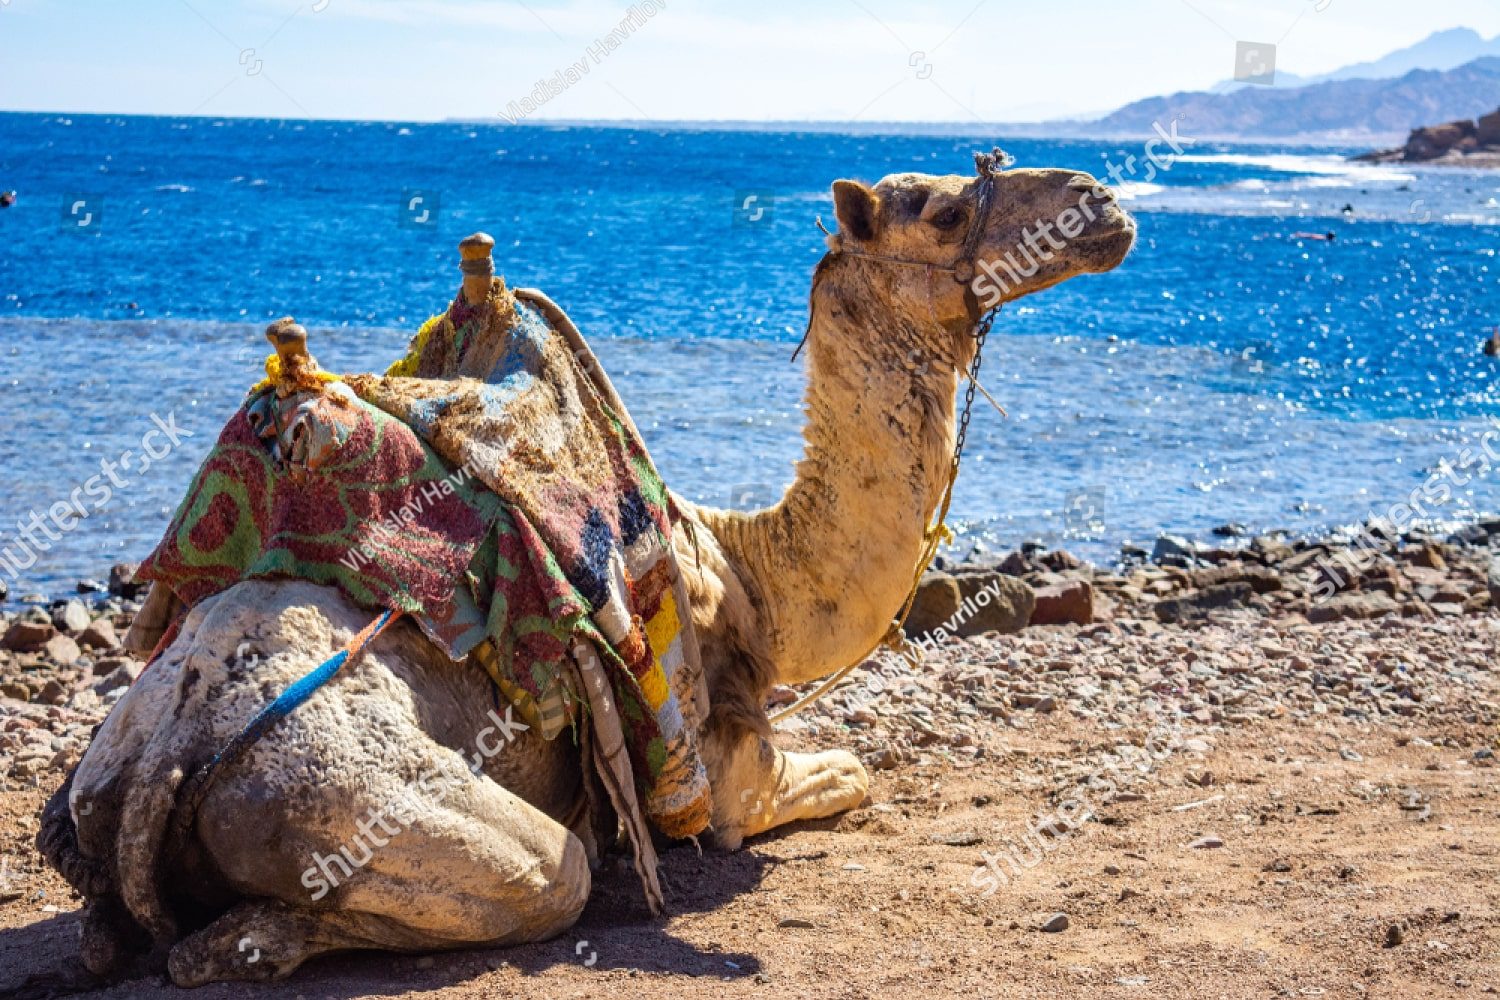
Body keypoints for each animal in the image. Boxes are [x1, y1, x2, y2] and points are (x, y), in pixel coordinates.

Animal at [38, 155, 1135, 986]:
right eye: (945, 208)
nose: (1104, 199)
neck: (748, 570)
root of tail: (163, 756)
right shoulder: (729, 770)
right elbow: (848, 771)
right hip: (339, 801)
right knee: (546, 875)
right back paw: (257, 938)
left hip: (110, 783)